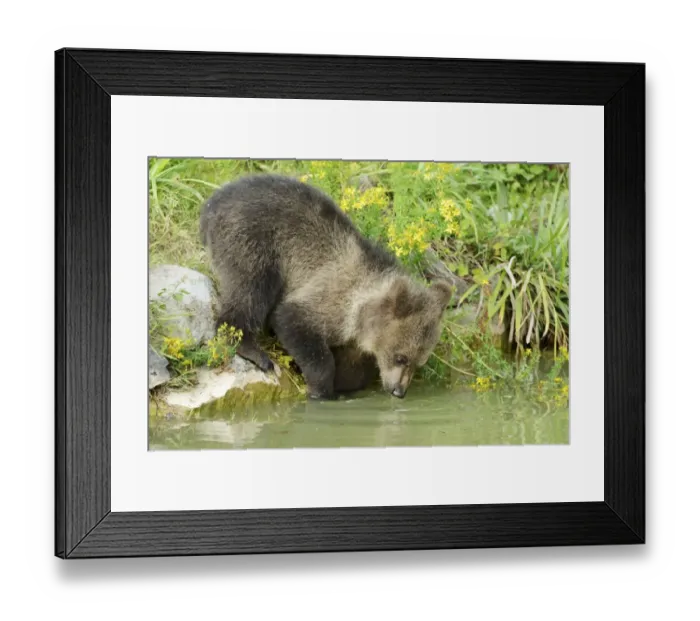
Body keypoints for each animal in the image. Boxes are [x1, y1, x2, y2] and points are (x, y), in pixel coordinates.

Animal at [199, 173, 452, 400]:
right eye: (401, 357)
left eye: (419, 361)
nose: (399, 391)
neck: (359, 315)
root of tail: (212, 203)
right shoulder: (331, 298)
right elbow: (292, 320)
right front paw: (320, 389)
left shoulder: (353, 339)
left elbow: (353, 370)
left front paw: (343, 383)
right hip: (252, 238)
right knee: (250, 288)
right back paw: (252, 350)